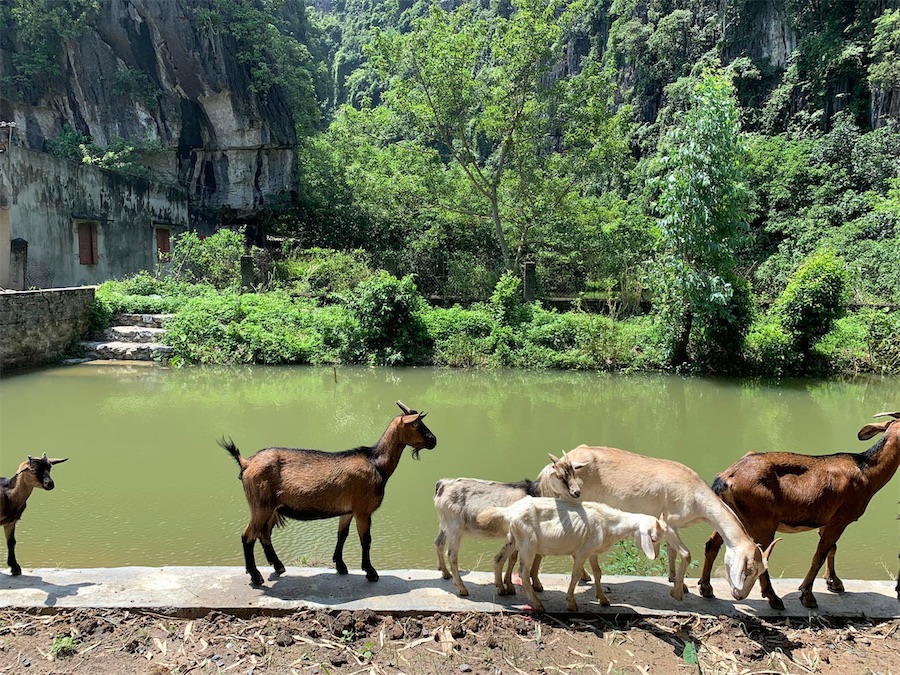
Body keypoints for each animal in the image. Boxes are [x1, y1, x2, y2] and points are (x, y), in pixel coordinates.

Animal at [223, 402, 438, 588]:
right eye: (417, 424)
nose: (434, 440)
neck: (376, 464)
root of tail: (247, 463)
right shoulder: (362, 510)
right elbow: (366, 540)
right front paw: (371, 572)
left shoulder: (348, 510)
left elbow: (342, 534)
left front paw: (341, 566)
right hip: (260, 505)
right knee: (248, 536)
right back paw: (256, 576)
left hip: (270, 508)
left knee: (264, 533)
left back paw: (278, 566)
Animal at [432, 460, 580, 596]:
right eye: (560, 476)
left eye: (574, 473)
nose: (577, 492)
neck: (535, 493)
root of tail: (443, 485)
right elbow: (514, 559)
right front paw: (510, 586)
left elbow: (515, 559)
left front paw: (510, 585)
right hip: (455, 526)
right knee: (452, 554)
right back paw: (462, 589)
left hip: (445, 524)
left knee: (439, 542)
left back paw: (445, 573)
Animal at [478, 496, 668, 612]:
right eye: (653, 539)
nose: (657, 556)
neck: (608, 523)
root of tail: (509, 511)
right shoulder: (582, 552)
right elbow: (575, 575)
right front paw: (571, 603)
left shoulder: (592, 551)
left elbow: (598, 573)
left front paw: (603, 599)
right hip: (528, 542)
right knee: (523, 572)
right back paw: (538, 604)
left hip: (514, 538)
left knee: (498, 559)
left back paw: (501, 589)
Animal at [536, 448, 776, 604]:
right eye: (748, 568)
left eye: (761, 569)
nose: (740, 595)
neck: (695, 496)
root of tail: (548, 470)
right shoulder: (668, 521)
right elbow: (686, 554)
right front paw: (677, 593)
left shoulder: (674, 526)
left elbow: (672, 552)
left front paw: (676, 581)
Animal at [700, 410, 900, 608]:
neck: (866, 471)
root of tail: (727, 477)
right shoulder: (840, 519)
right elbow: (820, 554)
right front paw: (807, 595)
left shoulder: (826, 519)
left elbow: (832, 548)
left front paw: (834, 582)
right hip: (763, 521)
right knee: (760, 555)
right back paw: (774, 598)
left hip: (729, 514)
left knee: (712, 545)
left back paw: (706, 588)